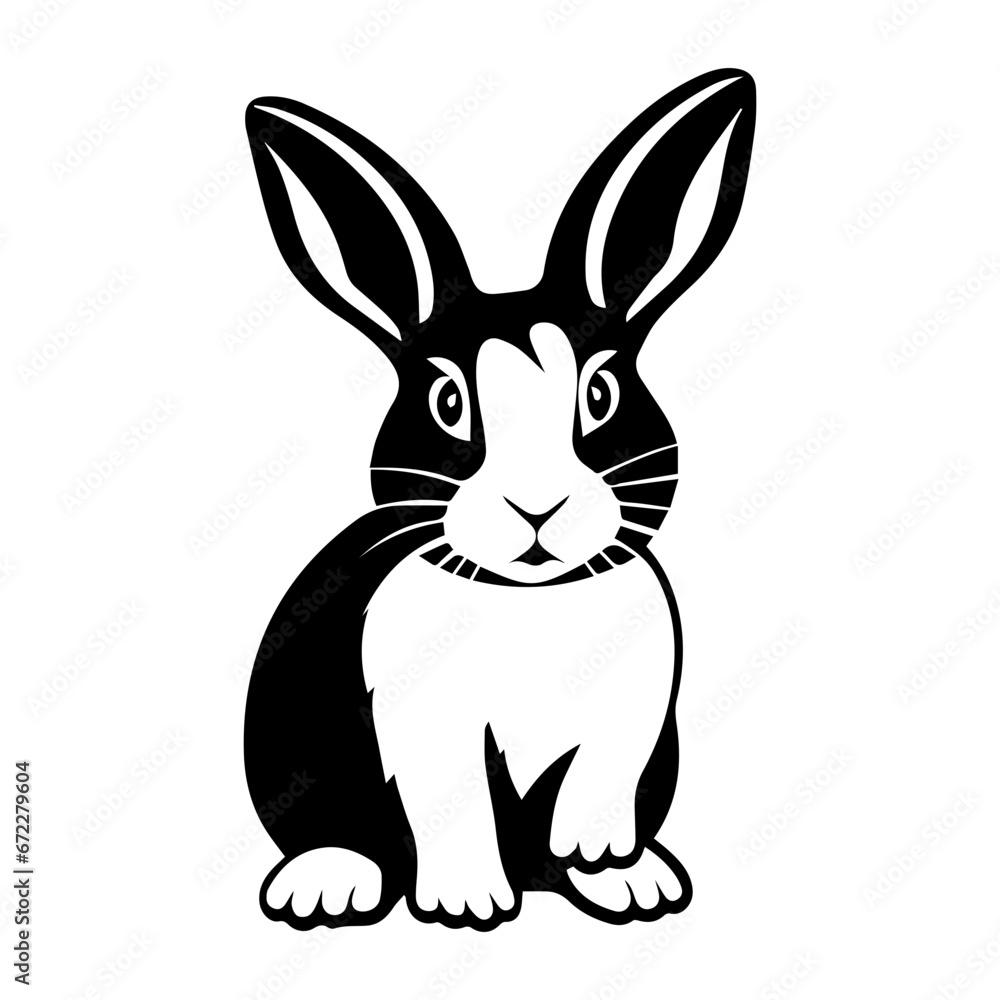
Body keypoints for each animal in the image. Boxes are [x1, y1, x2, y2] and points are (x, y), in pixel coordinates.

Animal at [243, 68, 755, 931]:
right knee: (336, 833)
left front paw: (602, 858)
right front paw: (465, 905)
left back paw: (630, 880)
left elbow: (600, 783)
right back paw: (327, 884)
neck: (530, 604)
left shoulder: (636, 715)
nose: (537, 508)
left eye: (601, 394)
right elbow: (453, 807)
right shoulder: (423, 728)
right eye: (448, 402)